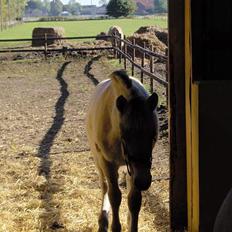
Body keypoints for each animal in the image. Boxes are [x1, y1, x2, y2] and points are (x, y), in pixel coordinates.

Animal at [86, 70, 159, 231]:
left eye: (153, 135)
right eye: (124, 135)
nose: (143, 182)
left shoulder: (135, 169)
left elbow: (134, 200)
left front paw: (132, 225)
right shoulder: (108, 163)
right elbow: (114, 196)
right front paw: (115, 226)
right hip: (98, 160)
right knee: (104, 186)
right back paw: (103, 219)